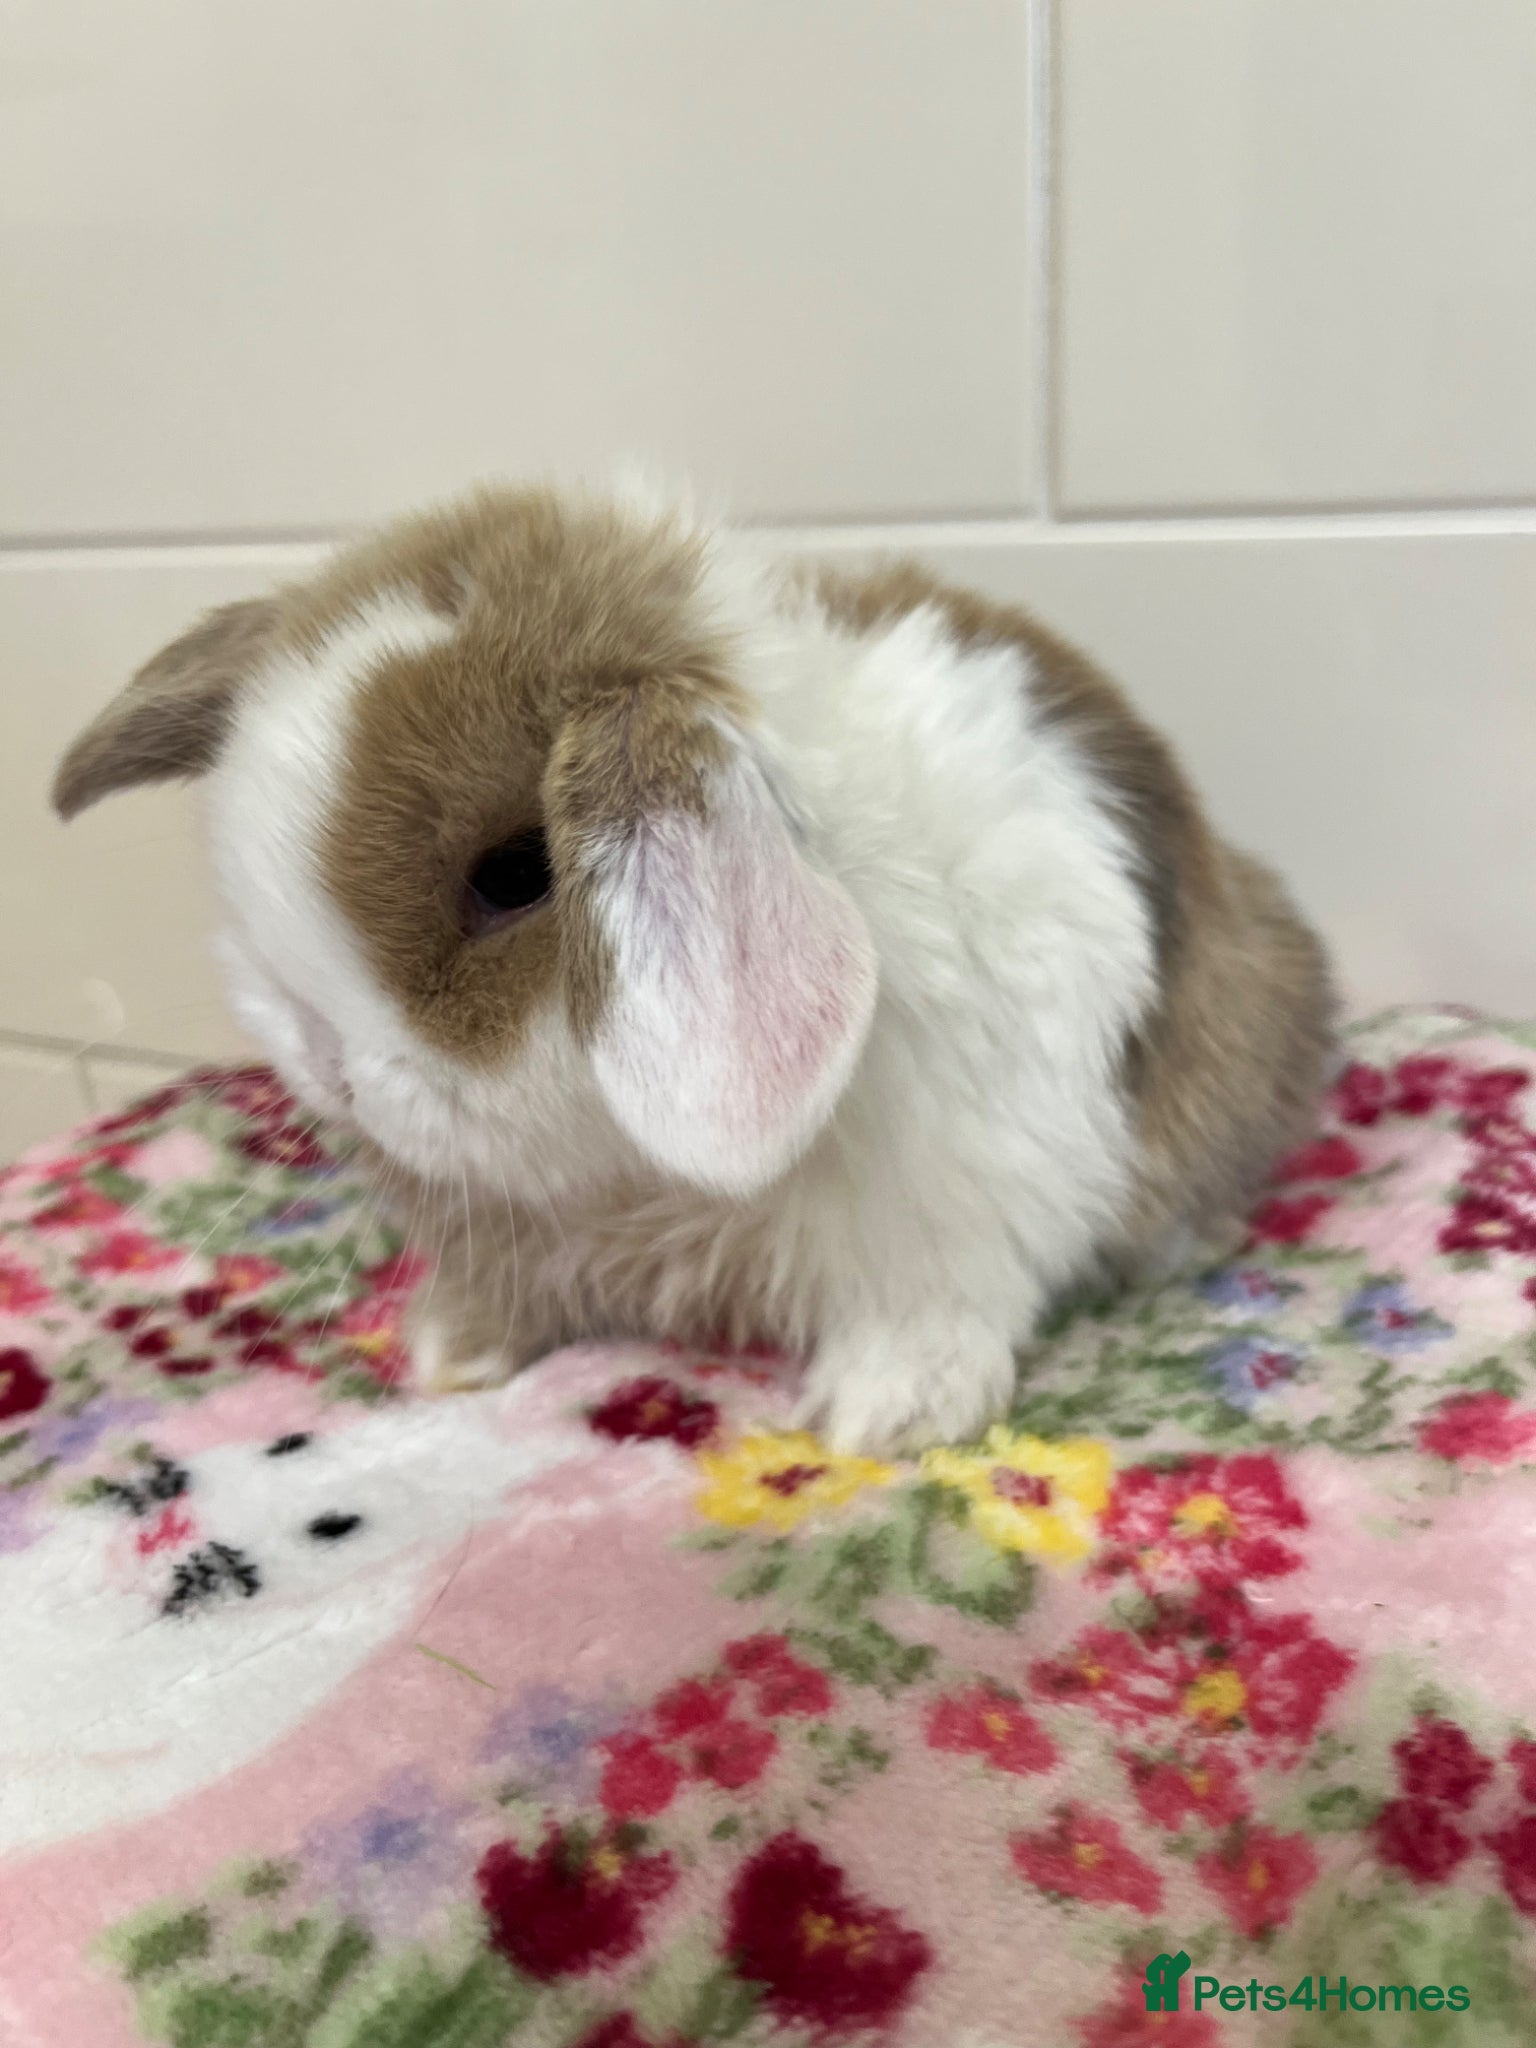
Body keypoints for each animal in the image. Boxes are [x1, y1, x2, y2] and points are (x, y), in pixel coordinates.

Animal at [53, 482, 1337, 1455]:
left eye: (515, 873)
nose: (325, 1065)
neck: (637, 1177)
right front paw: (454, 1348)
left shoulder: (966, 1188)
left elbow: (935, 1295)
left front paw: (884, 1415)